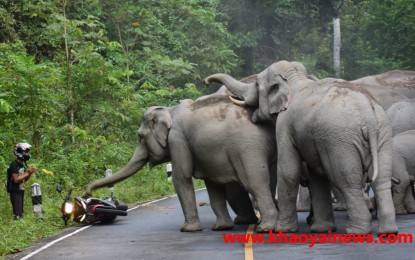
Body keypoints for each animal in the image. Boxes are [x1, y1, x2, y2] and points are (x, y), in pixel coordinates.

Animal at [84, 86, 280, 233]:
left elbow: (181, 177)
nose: (87, 194)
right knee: (270, 181)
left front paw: (187, 229)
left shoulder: (177, 140)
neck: (169, 110)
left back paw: (265, 228)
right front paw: (221, 227)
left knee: (255, 182)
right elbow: (212, 185)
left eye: (139, 136)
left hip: (247, 148)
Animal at [205, 60, 400, 235]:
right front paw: (321, 229)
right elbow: (317, 176)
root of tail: (368, 112)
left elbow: (288, 171)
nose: (206, 81)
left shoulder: (284, 124)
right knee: (381, 179)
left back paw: (356, 231)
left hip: (340, 140)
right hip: (383, 134)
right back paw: (388, 231)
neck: (294, 79)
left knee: (346, 180)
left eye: (256, 84)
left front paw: (282, 230)